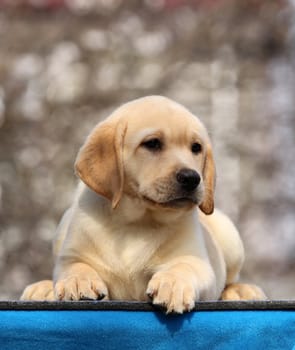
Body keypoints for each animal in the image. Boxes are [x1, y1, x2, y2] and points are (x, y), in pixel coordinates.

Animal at [20, 95, 266, 312]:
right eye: (152, 143)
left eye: (196, 148)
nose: (192, 178)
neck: (137, 221)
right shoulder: (73, 254)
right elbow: (75, 266)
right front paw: (79, 281)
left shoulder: (197, 261)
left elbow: (183, 267)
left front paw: (172, 285)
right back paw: (42, 289)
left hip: (230, 238)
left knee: (231, 280)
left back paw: (243, 291)